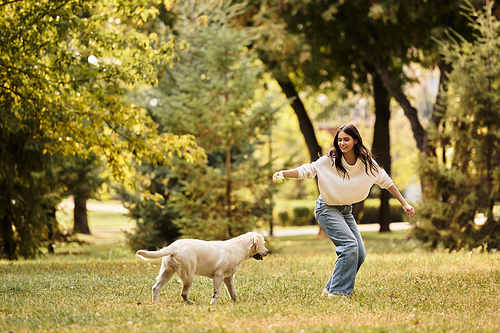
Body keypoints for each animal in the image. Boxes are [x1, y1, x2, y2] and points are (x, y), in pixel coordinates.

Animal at [136, 231, 270, 304]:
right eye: (263, 244)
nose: (268, 252)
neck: (239, 248)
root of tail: (173, 246)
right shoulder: (218, 275)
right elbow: (217, 293)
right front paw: (213, 304)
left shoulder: (228, 277)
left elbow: (233, 292)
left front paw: (236, 302)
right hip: (189, 276)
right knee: (183, 293)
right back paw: (191, 303)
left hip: (166, 273)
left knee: (155, 288)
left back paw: (156, 303)